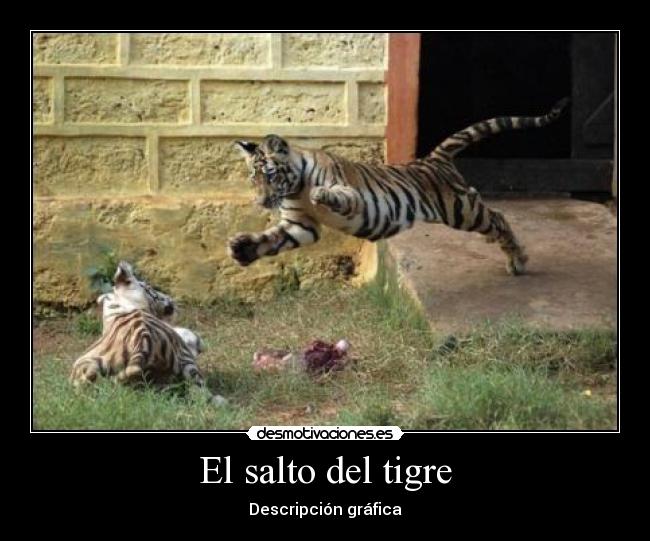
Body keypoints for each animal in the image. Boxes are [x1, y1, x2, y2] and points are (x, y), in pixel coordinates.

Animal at [71, 262, 225, 405]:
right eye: (150, 289)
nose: (171, 299)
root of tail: (142, 343)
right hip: (186, 362)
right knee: (201, 391)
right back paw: (220, 401)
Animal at [228, 98, 569, 276]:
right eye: (253, 179)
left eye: (270, 175)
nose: (261, 203)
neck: (294, 186)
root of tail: (433, 159)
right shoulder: (301, 225)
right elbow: (274, 239)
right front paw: (242, 248)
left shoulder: (351, 196)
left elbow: (335, 194)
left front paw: (320, 193)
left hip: (460, 209)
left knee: (497, 216)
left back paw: (518, 260)